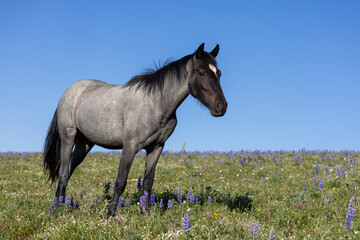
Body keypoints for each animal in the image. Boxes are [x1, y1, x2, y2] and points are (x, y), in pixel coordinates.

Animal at [43, 43, 228, 218]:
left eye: (218, 73)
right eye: (201, 72)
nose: (221, 106)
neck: (156, 103)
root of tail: (70, 91)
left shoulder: (156, 147)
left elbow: (148, 182)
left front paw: (145, 212)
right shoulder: (130, 147)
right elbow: (120, 181)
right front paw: (110, 214)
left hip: (85, 143)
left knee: (69, 170)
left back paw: (59, 204)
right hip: (68, 137)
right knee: (63, 172)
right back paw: (57, 209)